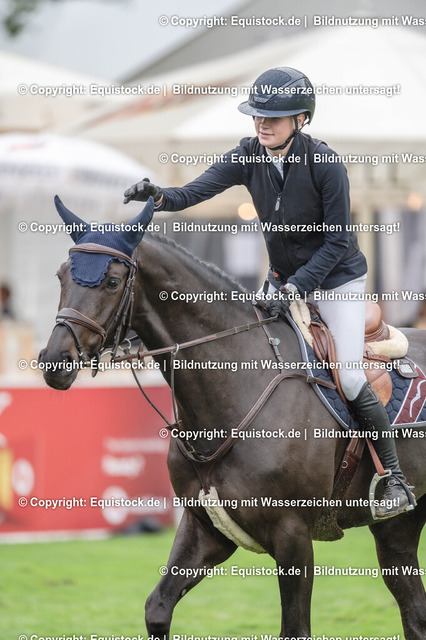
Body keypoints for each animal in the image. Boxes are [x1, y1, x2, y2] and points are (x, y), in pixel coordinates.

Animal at [39, 197, 426, 640]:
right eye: (62, 275)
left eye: (112, 281)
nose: (54, 361)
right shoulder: (204, 528)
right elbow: (158, 608)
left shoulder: (293, 535)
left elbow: (295, 627)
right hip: (397, 529)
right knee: (414, 610)